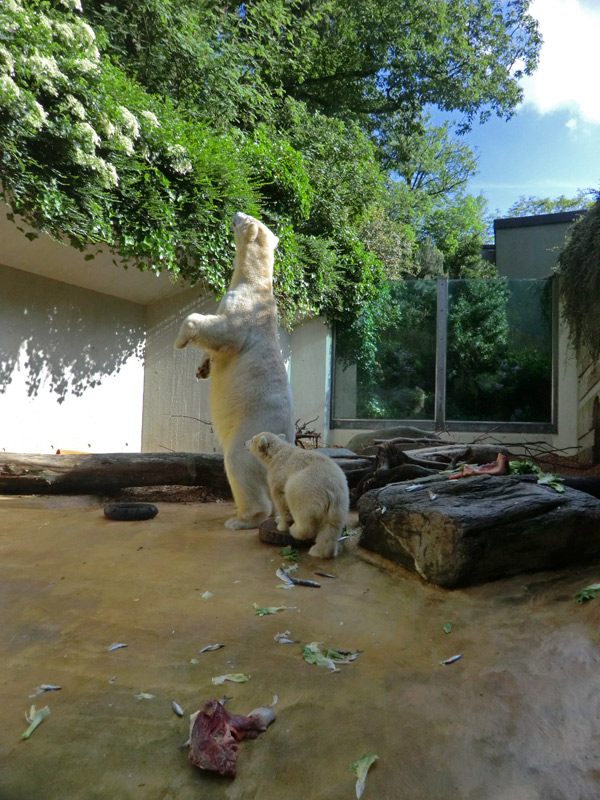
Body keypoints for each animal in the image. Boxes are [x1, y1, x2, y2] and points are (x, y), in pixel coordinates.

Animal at [173, 209, 296, 528]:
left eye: (247, 217)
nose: (236, 211)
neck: (254, 282)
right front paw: (203, 368)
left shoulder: (245, 312)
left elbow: (224, 331)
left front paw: (180, 340)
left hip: (251, 429)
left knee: (239, 463)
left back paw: (242, 519)